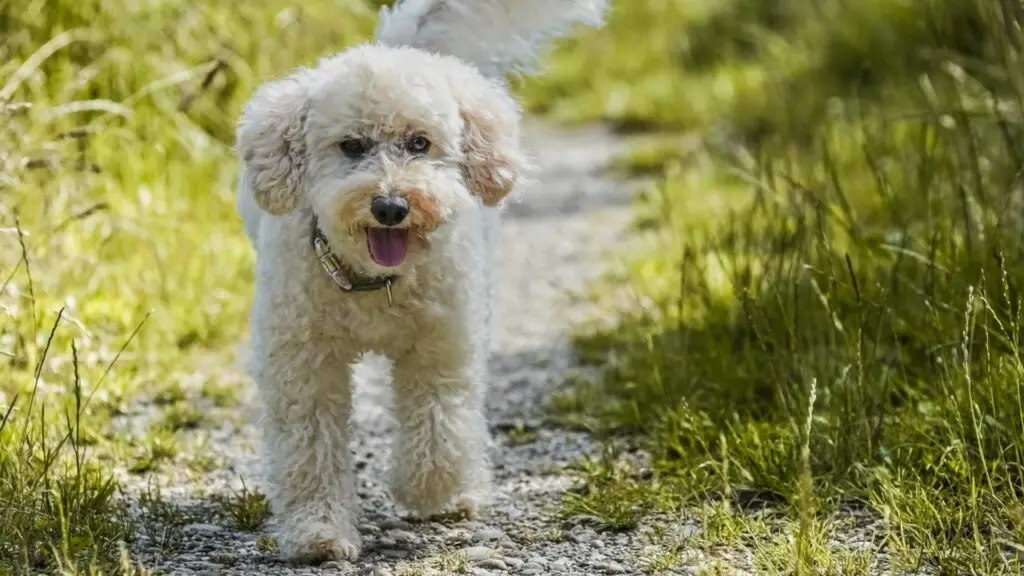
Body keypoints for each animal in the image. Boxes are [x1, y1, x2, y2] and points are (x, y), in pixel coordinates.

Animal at [232, 0, 606, 561]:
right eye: (352, 145)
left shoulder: (439, 348)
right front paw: (318, 532)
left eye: (419, 143)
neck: (374, 282)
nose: (390, 205)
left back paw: (463, 494)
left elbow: (440, 429)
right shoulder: (303, 365)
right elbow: (310, 449)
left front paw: (424, 492)